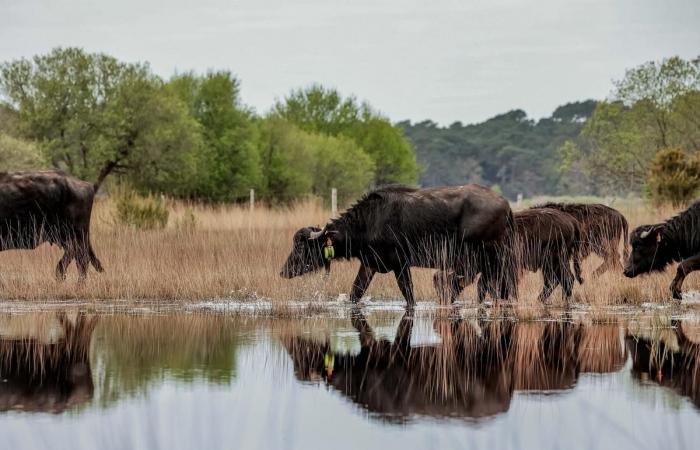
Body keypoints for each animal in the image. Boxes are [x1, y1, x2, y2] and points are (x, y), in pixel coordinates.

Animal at [280, 185, 520, 308]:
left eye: (301, 247)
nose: (283, 271)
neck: (369, 222)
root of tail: (506, 205)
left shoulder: (401, 265)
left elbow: (409, 296)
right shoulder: (369, 265)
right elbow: (355, 293)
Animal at [434, 207, 584, 302]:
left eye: (447, 284)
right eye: (437, 287)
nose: (443, 301)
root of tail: (571, 220)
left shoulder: (499, 269)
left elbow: (488, 286)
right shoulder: (489, 270)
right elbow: (486, 287)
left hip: (556, 260)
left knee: (566, 280)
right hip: (549, 264)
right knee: (553, 281)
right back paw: (540, 299)